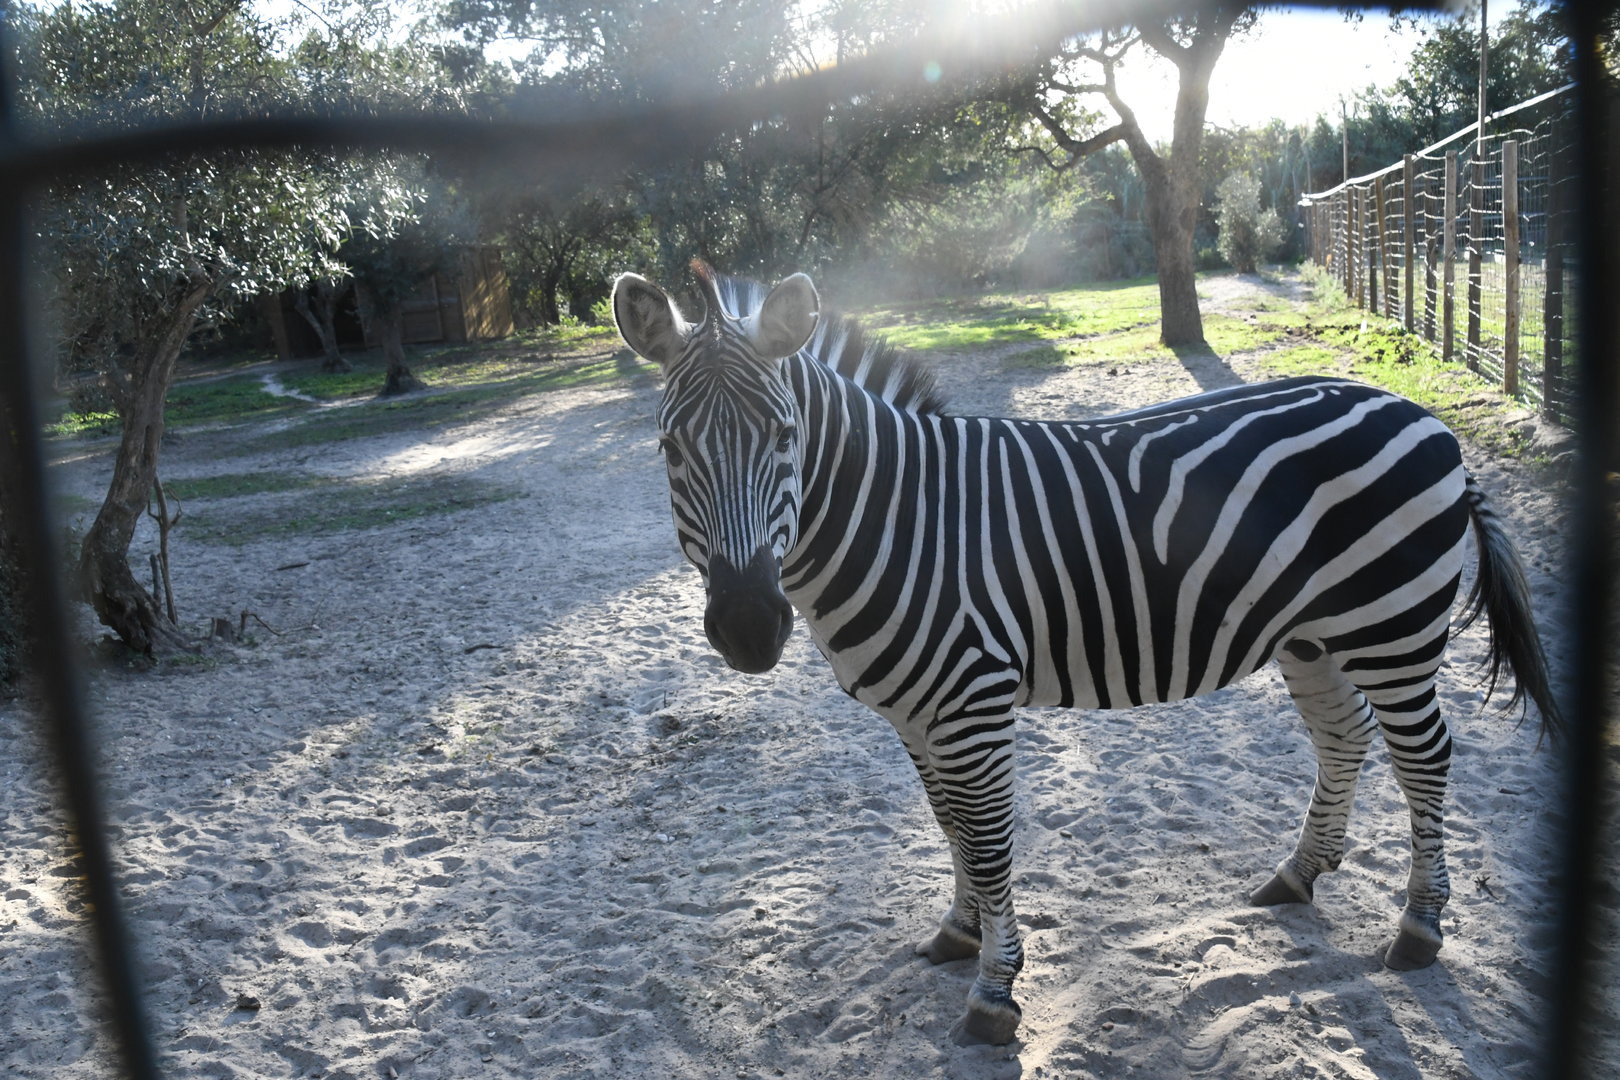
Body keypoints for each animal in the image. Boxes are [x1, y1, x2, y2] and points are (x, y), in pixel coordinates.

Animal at [611, 261, 1562, 1046]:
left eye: (784, 436)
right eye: (668, 447)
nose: (747, 627)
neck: (902, 521)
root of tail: (1425, 416)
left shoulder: (972, 700)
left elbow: (989, 839)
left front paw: (995, 993)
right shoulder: (917, 712)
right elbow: (950, 825)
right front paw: (959, 932)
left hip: (1392, 626)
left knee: (1425, 759)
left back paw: (1419, 927)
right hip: (1314, 635)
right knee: (1345, 738)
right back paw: (1297, 876)